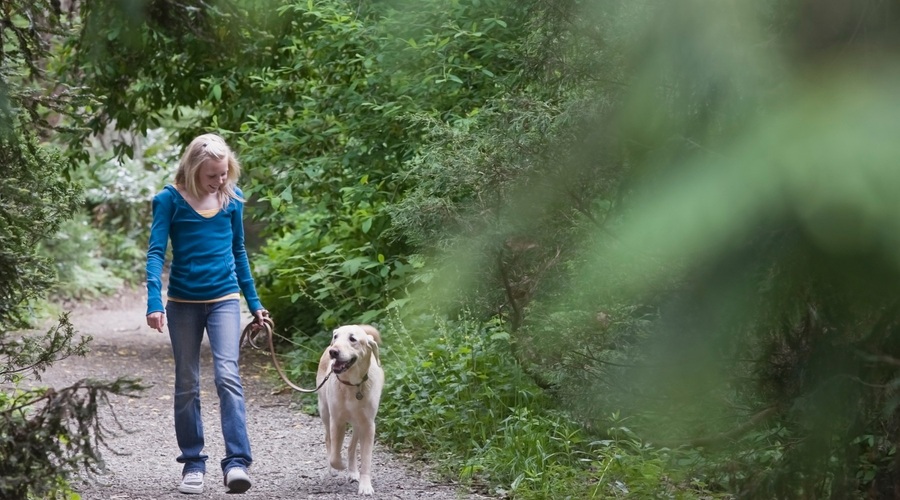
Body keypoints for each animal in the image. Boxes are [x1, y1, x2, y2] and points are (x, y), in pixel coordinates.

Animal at [316, 324, 384, 496]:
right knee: (328, 440)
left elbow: (366, 459)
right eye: (335, 336)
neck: (352, 385)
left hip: (358, 424)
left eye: (352, 339)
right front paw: (338, 466)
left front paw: (365, 485)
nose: (333, 351)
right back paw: (333, 469)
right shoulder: (337, 421)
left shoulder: (368, 425)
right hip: (325, 412)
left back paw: (353, 472)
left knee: (351, 447)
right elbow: (335, 455)